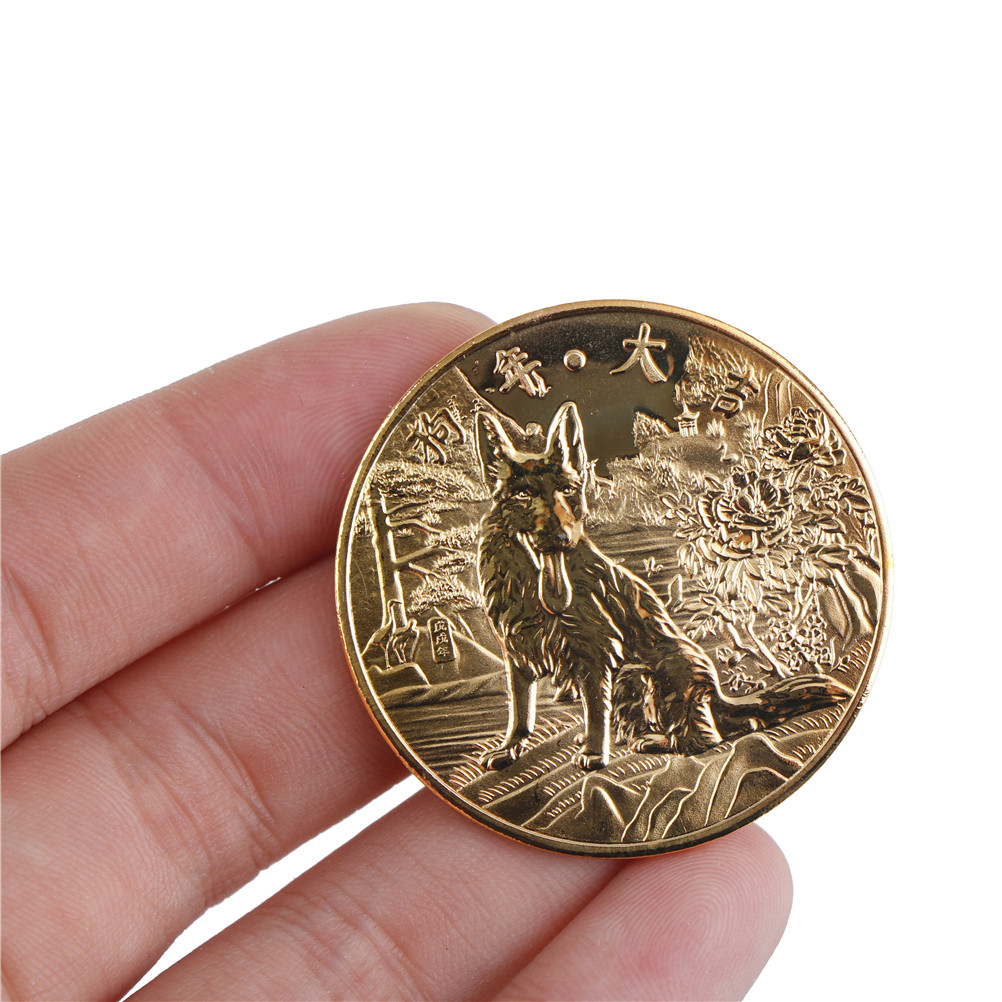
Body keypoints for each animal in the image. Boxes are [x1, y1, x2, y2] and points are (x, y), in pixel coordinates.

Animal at [476, 401, 849, 771]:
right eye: (523, 494)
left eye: (567, 490)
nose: (561, 538)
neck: (530, 589)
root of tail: (717, 694)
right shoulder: (516, 654)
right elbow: (520, 710)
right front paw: (510, 748)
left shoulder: (596, 654)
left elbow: (596, 709)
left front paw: (595, 754)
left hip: (641, 673)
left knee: (702, 737)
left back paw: (656, 740)